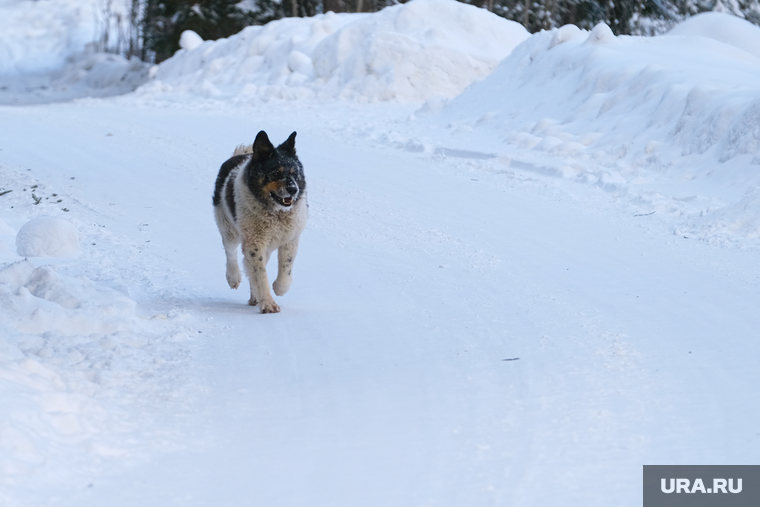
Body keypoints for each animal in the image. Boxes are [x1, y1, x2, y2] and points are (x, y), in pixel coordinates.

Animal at [212, 130, 308, 314]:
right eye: (276, 173)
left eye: (294, 173)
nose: (293, 189)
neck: (275, 214)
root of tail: (244, 153)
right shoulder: (254, 243)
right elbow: (260, 275)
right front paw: (269, 304)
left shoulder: (290, 239)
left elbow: (285, 272)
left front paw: (278, 288)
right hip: (228, 229)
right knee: (230, 252)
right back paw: (233, 277)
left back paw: (254, 297)